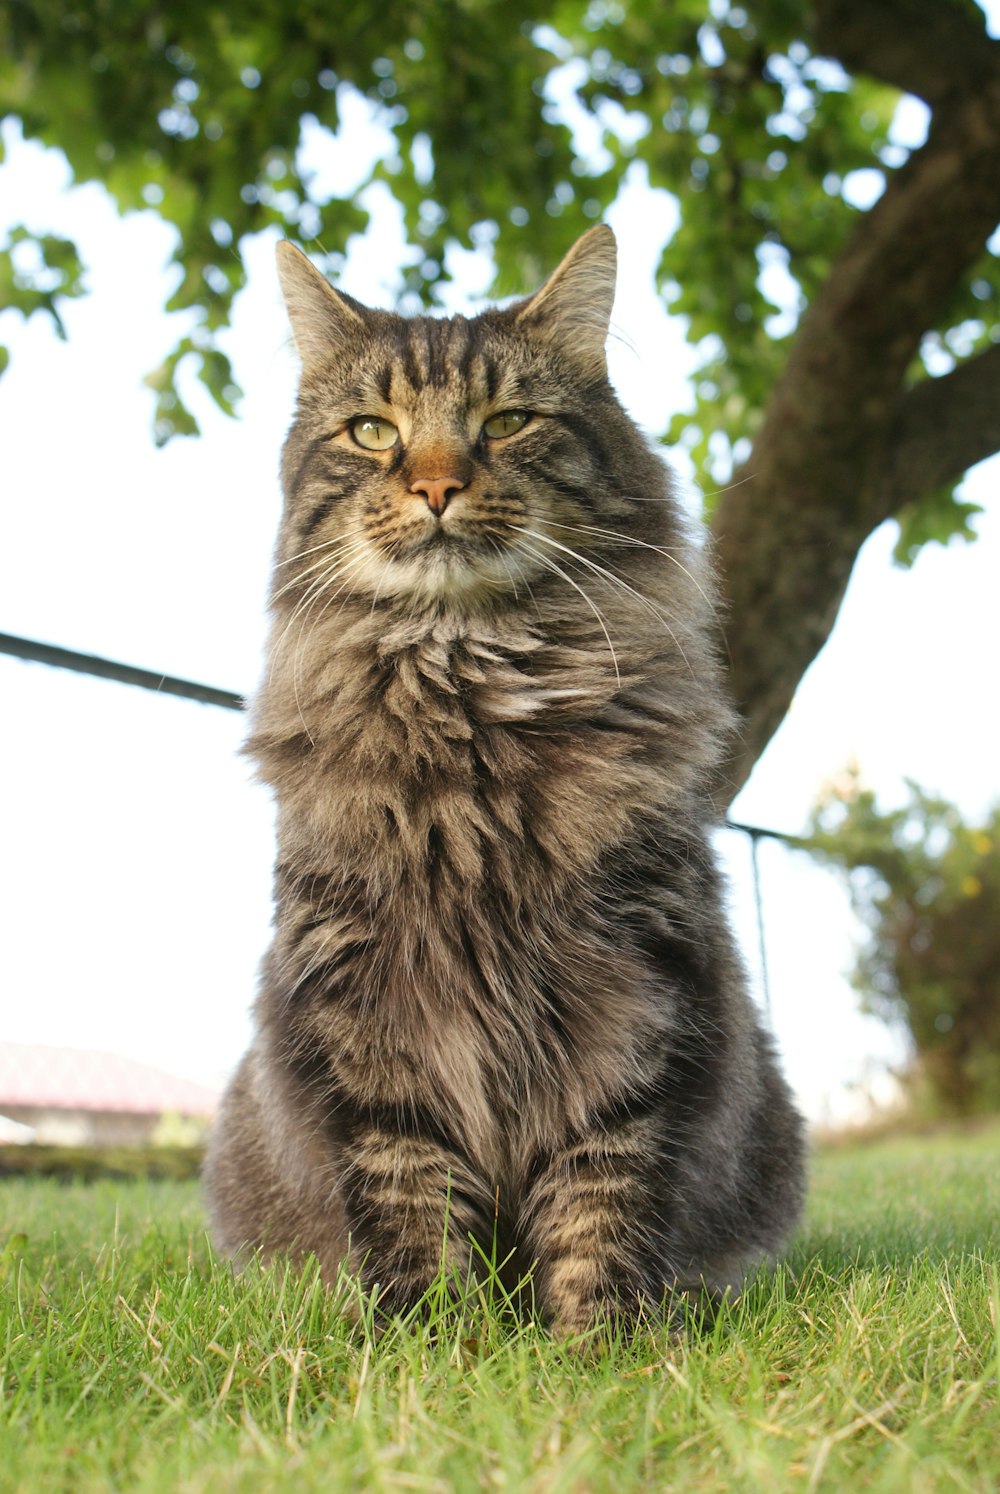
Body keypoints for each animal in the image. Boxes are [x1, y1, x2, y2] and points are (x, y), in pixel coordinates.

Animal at [203, 227, 801, 1338]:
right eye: (372, 431)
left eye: (508, 423)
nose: (436, 486)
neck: (470, 707)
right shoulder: (365, 1004)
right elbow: (409, 1193)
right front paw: (429, 1344)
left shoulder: (639, 981)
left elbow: (603, 1186)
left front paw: (597, 1343)